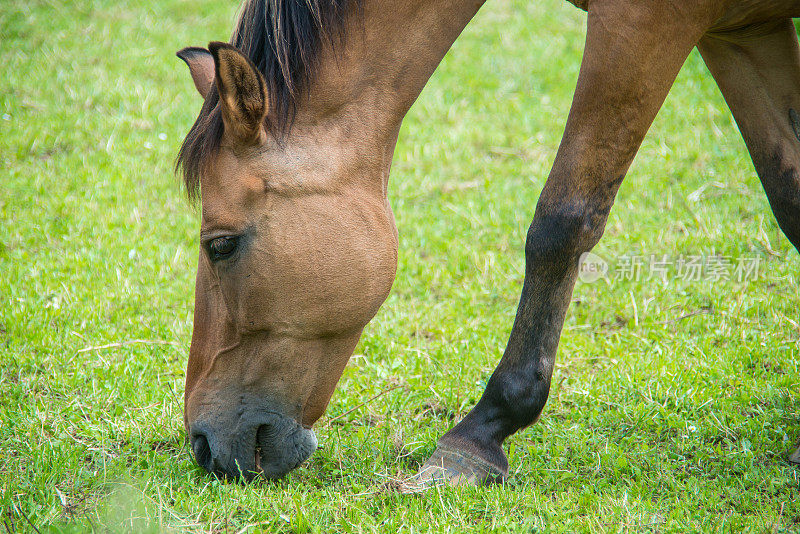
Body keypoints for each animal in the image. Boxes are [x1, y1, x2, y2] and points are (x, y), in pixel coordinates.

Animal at [175, 0, 800, 488]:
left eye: (221, 245)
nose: (203, 443)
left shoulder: (643, 23)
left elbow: (562, 221)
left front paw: (480, 435)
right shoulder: (741, 28)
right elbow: (790, 197)